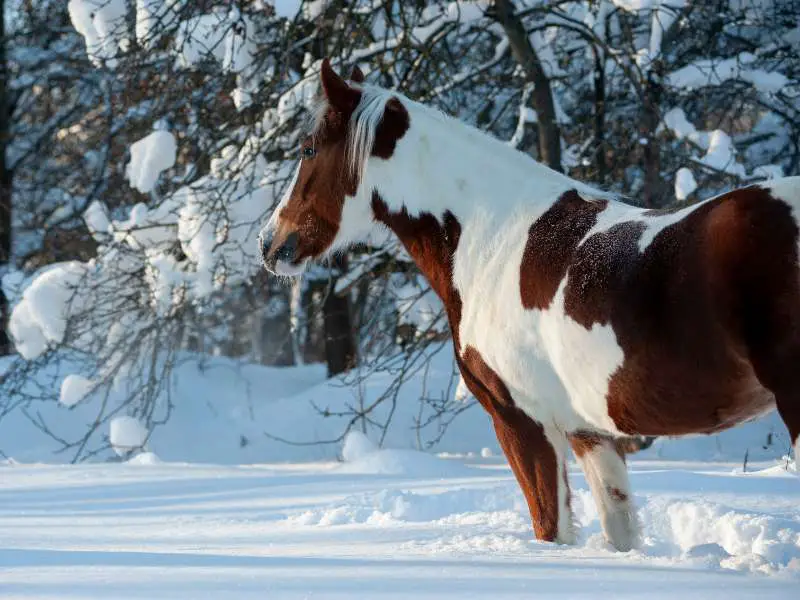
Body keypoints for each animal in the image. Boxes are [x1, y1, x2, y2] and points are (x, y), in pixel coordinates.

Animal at [260, 58, 800, 552]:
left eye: (308, 149)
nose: (270, 243)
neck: (492, 239)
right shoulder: (588, 432)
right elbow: (618, 531)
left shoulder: (522, 421)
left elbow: (550, 530)